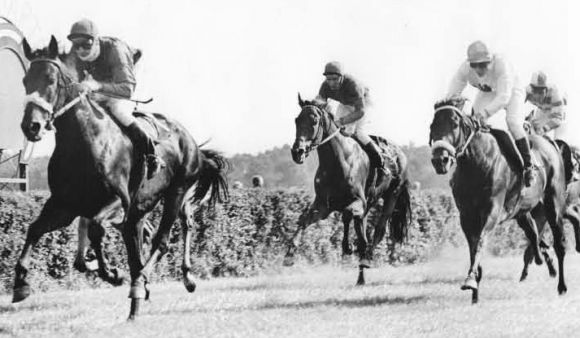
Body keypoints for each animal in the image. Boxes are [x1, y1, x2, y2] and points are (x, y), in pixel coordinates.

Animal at [15, 37, 229, 320]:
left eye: (50, 79)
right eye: (25, 80)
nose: (31, 126)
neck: (83, 142)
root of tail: (191, 142)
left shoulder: (118, 201)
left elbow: (96, 229)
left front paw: (111, 273)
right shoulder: (65, 204)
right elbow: (35, 229)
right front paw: (20, 283)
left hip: (176, 192)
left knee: (164, 239)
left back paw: (146, 283)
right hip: (140, 210)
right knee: (140, 245)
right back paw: (139, 296)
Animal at [288, 94, 410, 286]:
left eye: (314, 121)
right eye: (297, 120)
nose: (297, 152)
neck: (337, 162)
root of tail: (401, 153)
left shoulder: (358, 201)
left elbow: (346, 214)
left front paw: (346, 247)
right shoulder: (323, 205)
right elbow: (304, 219)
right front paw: (290, 253)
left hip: (392, 195)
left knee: (379, 230)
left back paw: (367, 258)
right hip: (369, 205)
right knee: (363, 237)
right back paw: (360, 278)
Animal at [428, 95, 568, 304]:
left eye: (454, 124)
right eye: (433, 125)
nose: (440, 160)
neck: (476, 164)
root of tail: (549, 143)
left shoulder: (491, 211)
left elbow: (480, 242)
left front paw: (470, 281)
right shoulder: (466, 216)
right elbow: (473, 248)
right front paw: (475, 293)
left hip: (553, 204)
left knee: (559, 244)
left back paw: (562, 286)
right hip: (521, 210)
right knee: (533, 232)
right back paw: (539, 257)